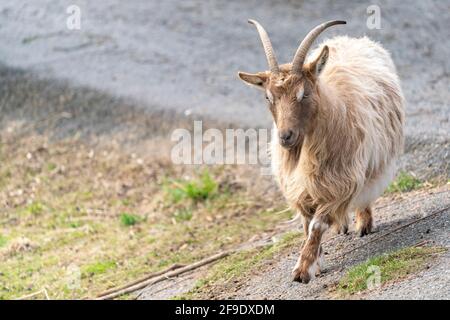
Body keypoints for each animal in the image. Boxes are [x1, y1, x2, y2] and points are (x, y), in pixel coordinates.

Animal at [239, 20, 404, 282]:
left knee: (366, 190)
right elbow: (308, 225)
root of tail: (351, 39)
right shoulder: (301, 188)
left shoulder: (339, 182)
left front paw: (303, 269)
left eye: (303, 93)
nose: (285, 136)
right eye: (268, 97)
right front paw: (316, 261)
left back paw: (363, 223)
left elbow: (317, 224)